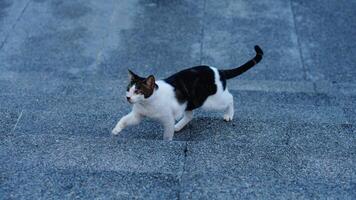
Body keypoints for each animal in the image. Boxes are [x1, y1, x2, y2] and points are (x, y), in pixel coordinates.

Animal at [112, 45, 262, 141]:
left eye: (138, 91)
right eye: (128, 89)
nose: (128, 97)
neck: (147, 104)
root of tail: (218, 71)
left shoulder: (167, 119)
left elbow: (167, 135)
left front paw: (167, 142)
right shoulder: (137, 115)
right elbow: (124, 119)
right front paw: (116, 130)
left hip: (212, 101)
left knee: (230, 97)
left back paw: (229, 115)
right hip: (191, 101)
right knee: (190, 115)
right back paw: (178, 126)